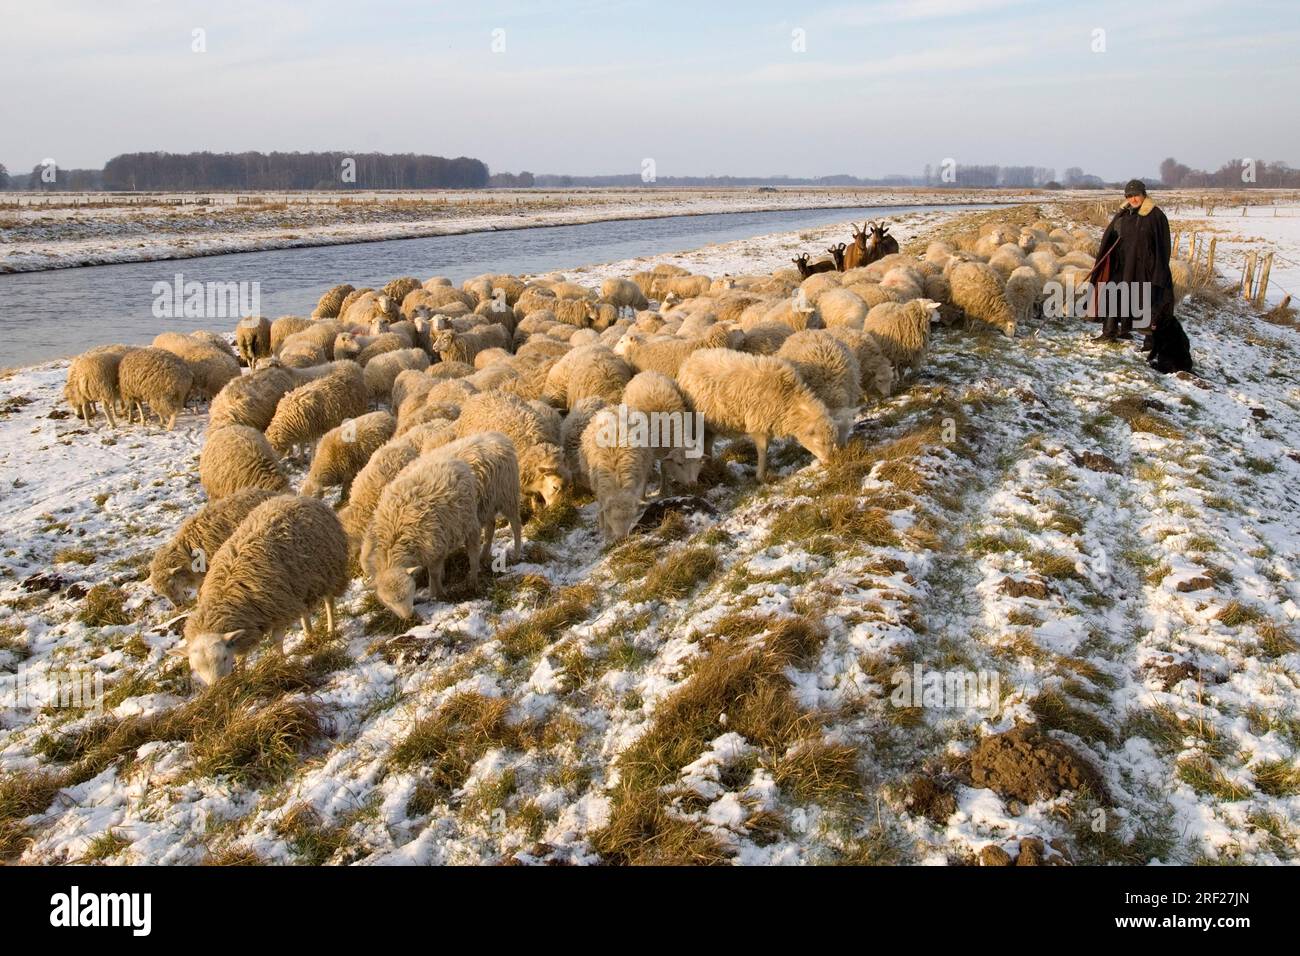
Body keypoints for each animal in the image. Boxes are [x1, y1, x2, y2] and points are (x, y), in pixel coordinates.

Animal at [361, 452, 483, 616]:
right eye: (388, 601)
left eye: (409, 592)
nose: (408, 617)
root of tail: (448, 458)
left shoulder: (435, 549)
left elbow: (434, 572)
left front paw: (437, 594)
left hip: (468, 520)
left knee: (473, 549)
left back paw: (473, 579)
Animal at [579, 408, 655, 541]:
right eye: (612, 517)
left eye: (631, 516)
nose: (622, 538)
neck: (616, 479)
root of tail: (613, 407)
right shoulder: (598, 486)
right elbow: (601, 507)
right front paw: (605, 531)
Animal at [676, 348, 837, 481]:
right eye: (819, 442)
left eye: (831, 441)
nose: (830, 462)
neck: (787, 398)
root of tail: (688, 361)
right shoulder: (758, 424)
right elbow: (762, 451)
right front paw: (760, 476)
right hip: (695, 420)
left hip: (709, 424)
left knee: (707, 442)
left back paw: (710, 466)